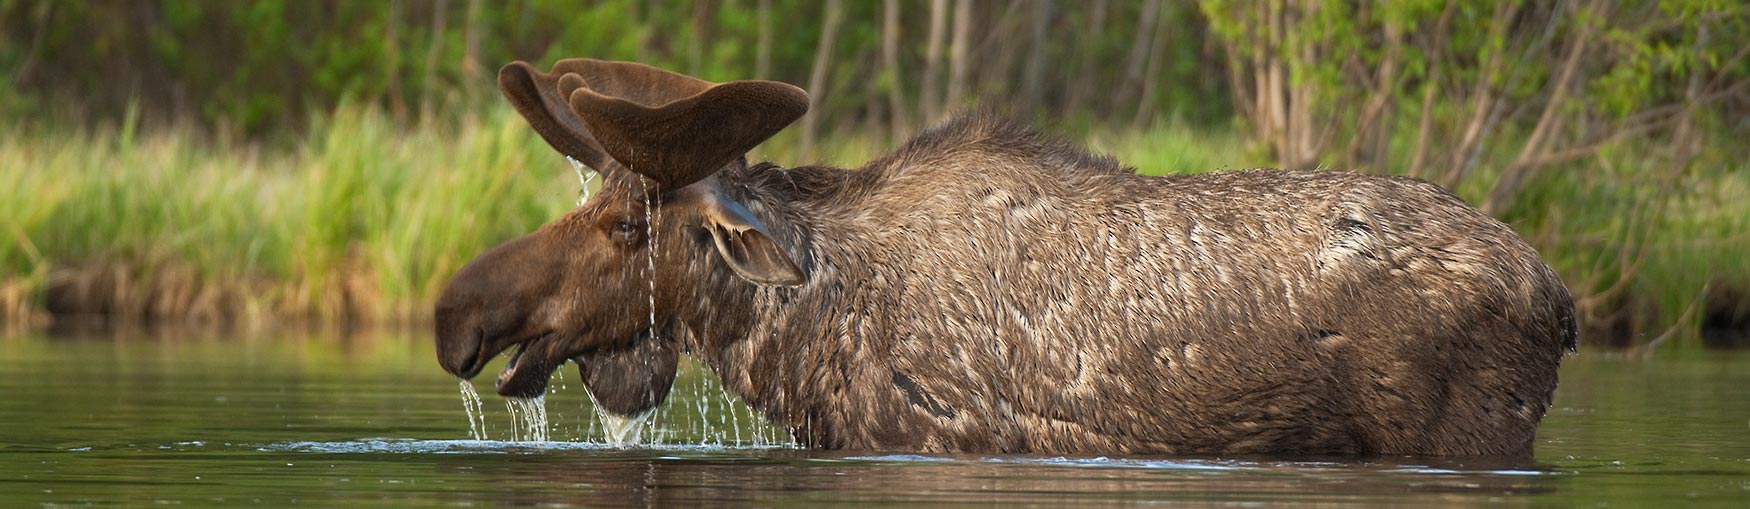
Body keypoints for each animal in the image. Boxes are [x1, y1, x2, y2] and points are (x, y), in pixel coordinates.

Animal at [435, 58, 1575, 456]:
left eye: (625, 227)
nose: (455, 313)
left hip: (1473, 433)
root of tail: (1559, 295)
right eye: (593, 204)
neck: (800, 332)